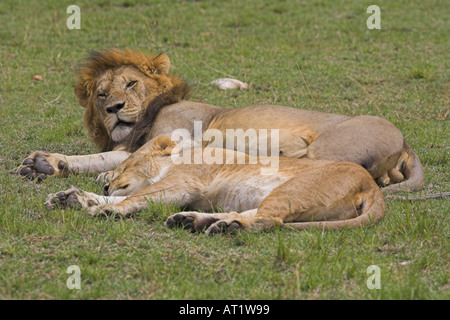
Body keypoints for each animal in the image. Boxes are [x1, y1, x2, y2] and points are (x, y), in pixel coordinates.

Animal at [17, 47, 424, 192]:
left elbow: (135, 158)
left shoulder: (184, 134)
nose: (114, 108)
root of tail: (406, 143)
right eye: (101, 94)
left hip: (327, 146)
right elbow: (98, 158)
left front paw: (109, 176)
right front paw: (44, 164)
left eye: (131, 84)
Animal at [44, 136, 384, 232]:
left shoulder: (184, 184)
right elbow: (133, 197)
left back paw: (225, 228)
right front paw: (71, 198)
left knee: (269, 220)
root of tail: (372, 186)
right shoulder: (185, 193)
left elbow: (134, 197)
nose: (105, 185)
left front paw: (106, 209)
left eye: (124, 166)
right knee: (251, 214)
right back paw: (193, 221)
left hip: (292, 190)